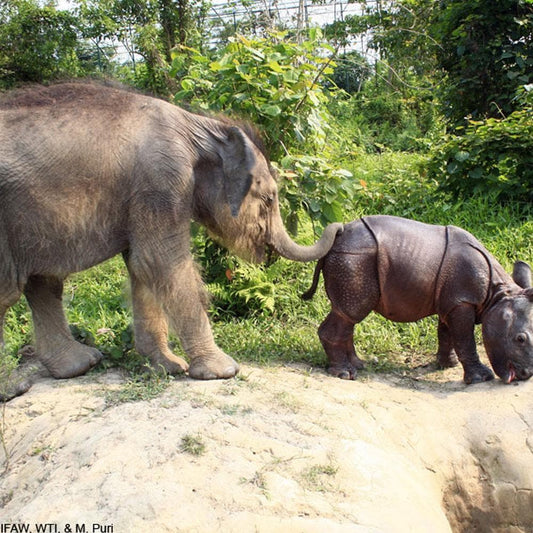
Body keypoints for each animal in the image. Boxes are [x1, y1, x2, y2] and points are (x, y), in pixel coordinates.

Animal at [0, 82, 340, 400]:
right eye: (269, 199)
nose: (338, 227)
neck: (201, 127)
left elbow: (140, 267)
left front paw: (167, 367)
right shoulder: (163, 180)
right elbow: (159, 262)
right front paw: (224, 371)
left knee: (43, 284)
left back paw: (80, 365)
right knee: (12, 291)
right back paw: (15, 389)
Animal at [302, 214, 532, 384]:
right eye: (520, 339)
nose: (526, 375)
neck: (498, 295)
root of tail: (338, 237)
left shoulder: (452, 301)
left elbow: (447, 334)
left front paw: (448, 364)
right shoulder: (462, 301)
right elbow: (465, 339)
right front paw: (480, 378)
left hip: (352, 259)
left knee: (348, 316)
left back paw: (358, 365)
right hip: (353, 259)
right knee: (350, 312)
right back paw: (345, 374)